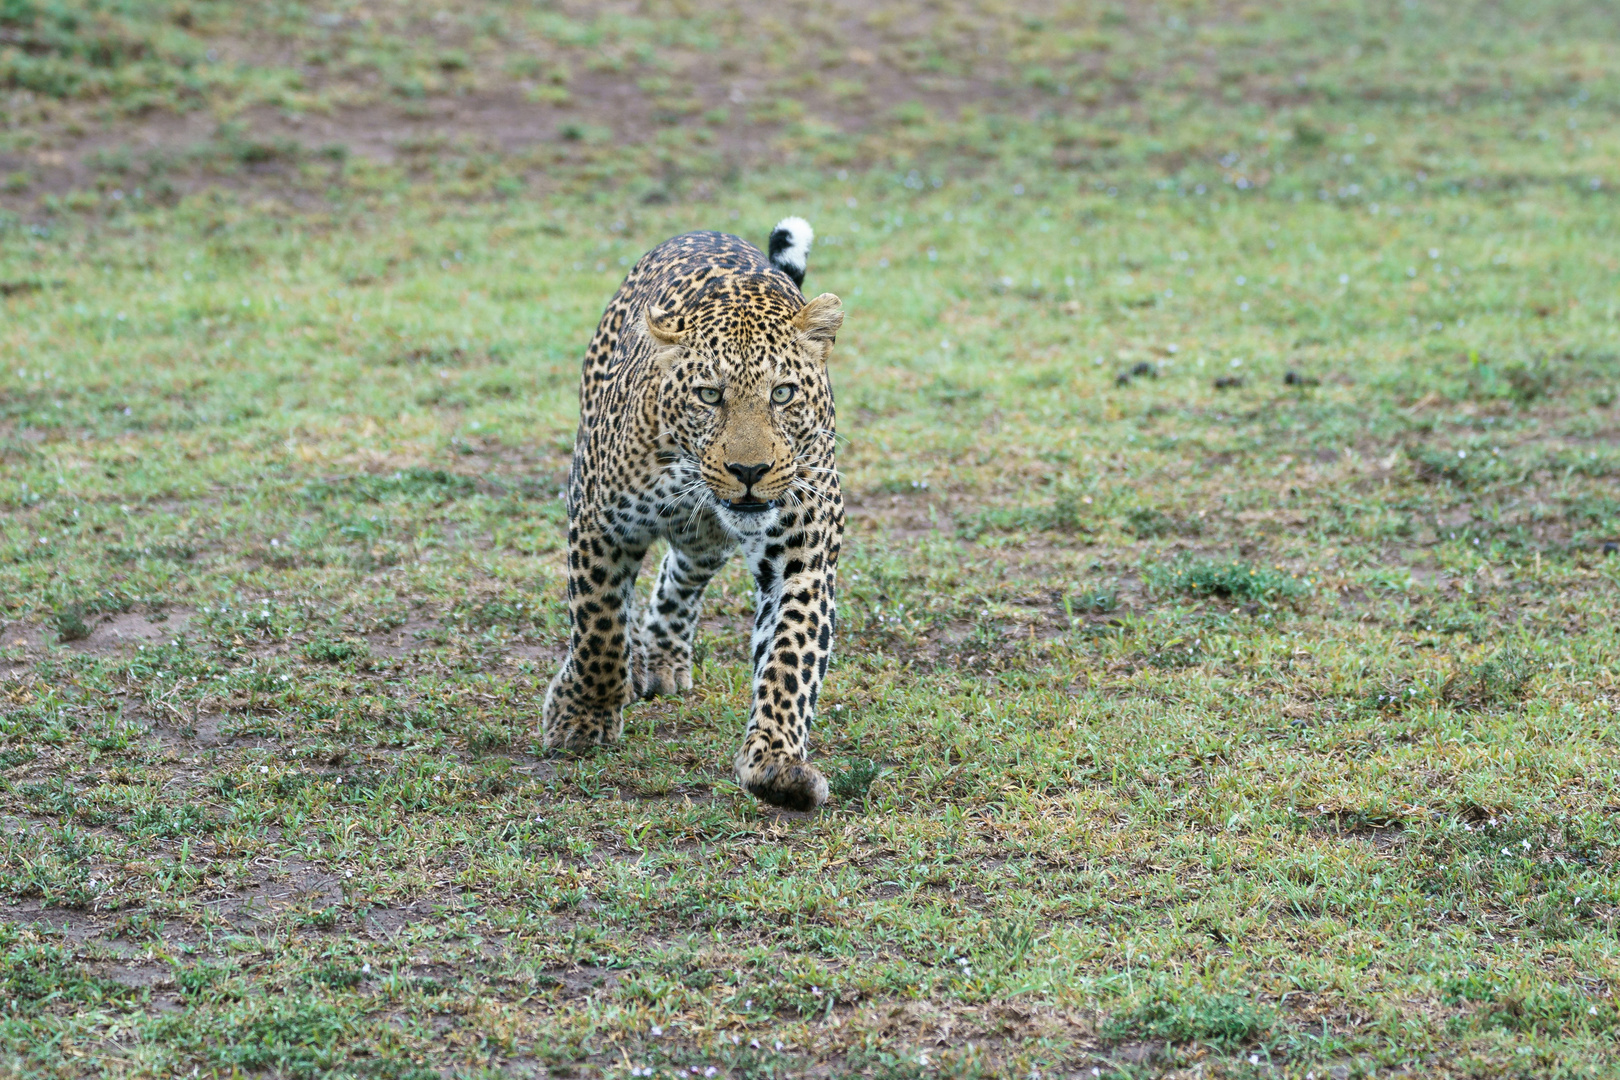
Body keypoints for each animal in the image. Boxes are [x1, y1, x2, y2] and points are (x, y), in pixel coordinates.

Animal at [544, 220, 848, 809]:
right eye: (709, 395)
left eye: (783, 393)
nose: (749, 469)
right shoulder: (597, 518)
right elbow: (598, 625)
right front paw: (582, 717)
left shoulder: (803, 561)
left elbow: (790, 658)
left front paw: (776, 765)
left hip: (705, 542)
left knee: (678, 579)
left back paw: (662, 659)